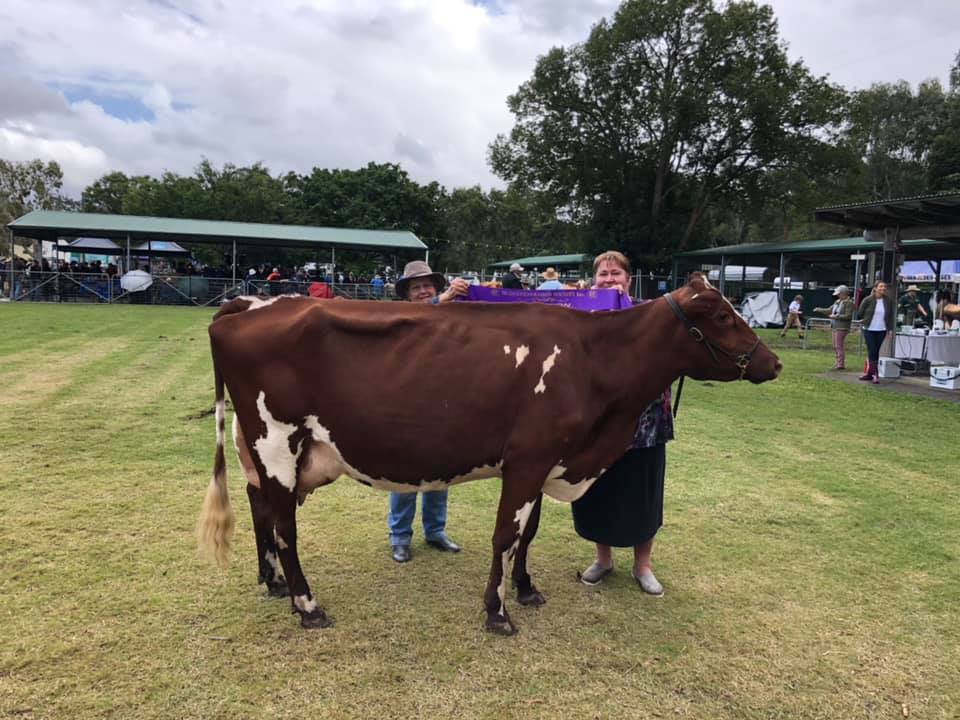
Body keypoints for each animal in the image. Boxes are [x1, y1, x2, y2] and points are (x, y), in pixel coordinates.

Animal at [201, 272, 780, 632]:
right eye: (723, 316)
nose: (773, 363)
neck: (592, 359)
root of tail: (245, 305)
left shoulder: (546, 459)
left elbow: (529, 532)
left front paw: (525, 590)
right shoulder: (528, 459)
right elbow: (506, 534)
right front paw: (497, 612)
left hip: (263, 450)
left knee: (260, 509)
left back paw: (274, 584)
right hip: (277, 441)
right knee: (284, 525)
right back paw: (307, 605)